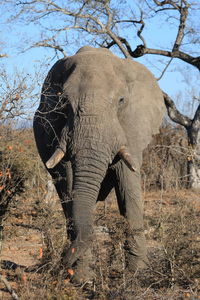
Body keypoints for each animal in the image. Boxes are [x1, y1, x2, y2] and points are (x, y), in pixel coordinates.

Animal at [32, 46, 165, 284]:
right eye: (63, 102)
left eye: (121, 101)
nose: (57, 265)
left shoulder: (131, 126)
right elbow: (69, 184)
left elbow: (128, 185)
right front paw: (82, 279)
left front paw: (138, 274)